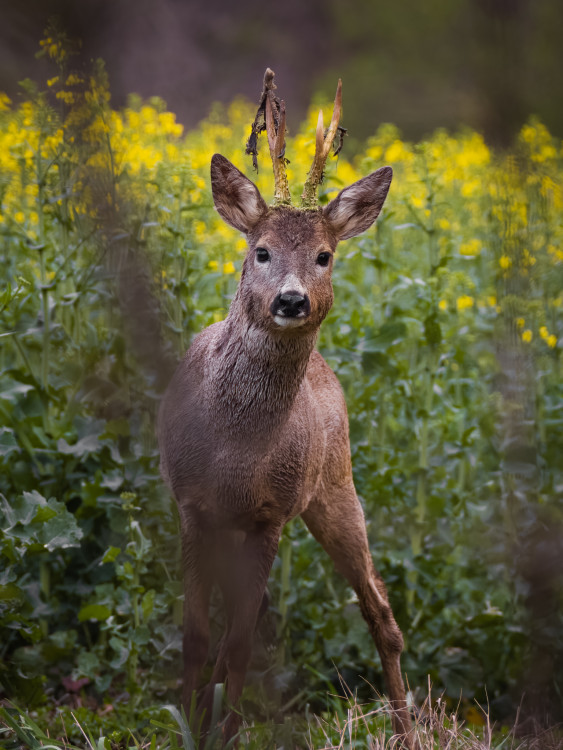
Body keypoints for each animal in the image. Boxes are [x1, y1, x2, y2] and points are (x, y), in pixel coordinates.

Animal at [159, 69, 414, 748]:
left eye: (324, 255)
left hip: (335, 487)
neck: (235, 444)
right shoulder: (192, 503)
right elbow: (197, 637)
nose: (292, 301)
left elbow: (241, 644)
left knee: (380, 611)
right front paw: (188, 723)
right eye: (262, 250)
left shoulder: (270, 512)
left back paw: (407, 727)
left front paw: (222, 730)